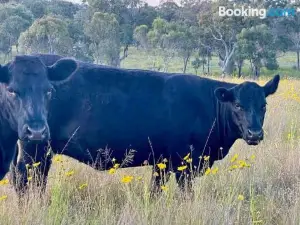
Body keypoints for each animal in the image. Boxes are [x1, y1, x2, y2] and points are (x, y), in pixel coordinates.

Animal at [0, 55, 280, 195]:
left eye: (264, 106)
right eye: (238, 105)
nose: (255, 133)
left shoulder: (162, 162)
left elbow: (155, 191)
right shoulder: (184, 162)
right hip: (35, 148)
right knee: (26, 179)